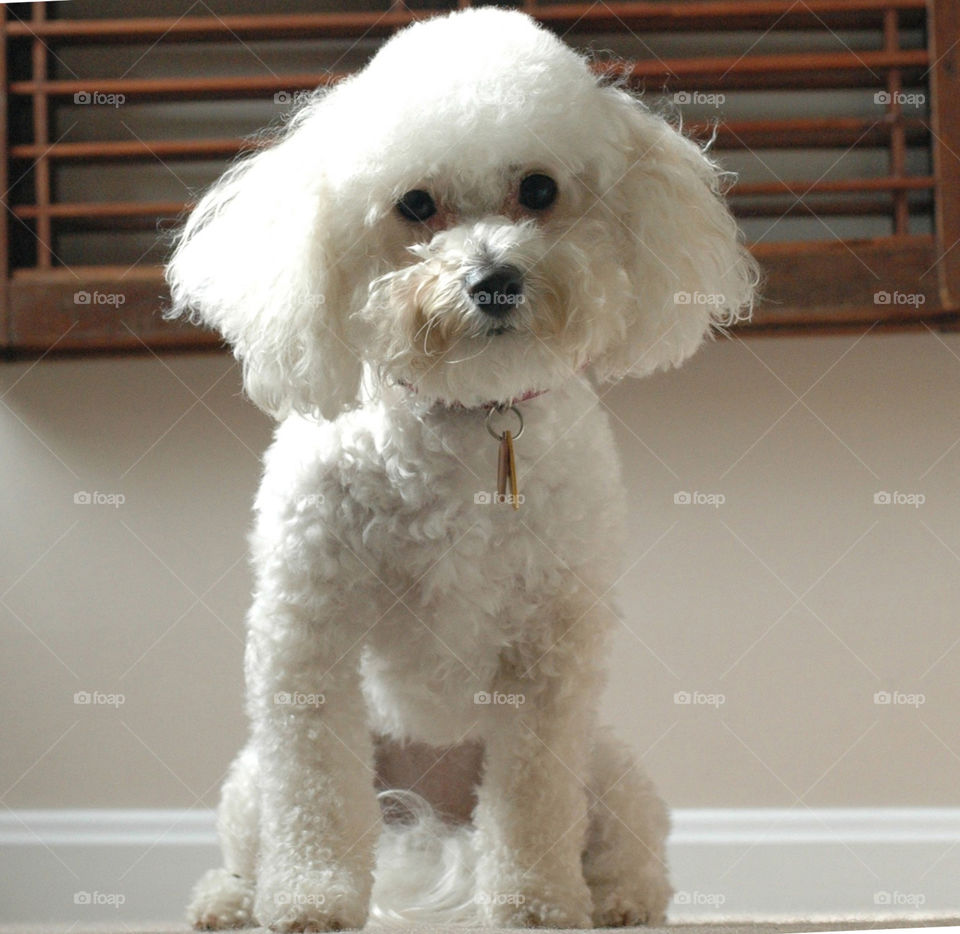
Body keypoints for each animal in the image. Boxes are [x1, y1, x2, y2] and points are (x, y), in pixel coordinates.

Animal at [167, 9, 756, 934]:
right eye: (415, 203)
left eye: (539, 190)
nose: (496, 281)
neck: (470, 416)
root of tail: (434, 816)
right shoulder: (308, 633)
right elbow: (314, 799)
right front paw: (309, 902)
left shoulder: (550, 656)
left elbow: (534, 804)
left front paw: (537, 905)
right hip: (255, 775)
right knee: (255, 835)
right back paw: (231, 899)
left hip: (609, 765)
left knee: (626, 846)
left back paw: (617, 901)